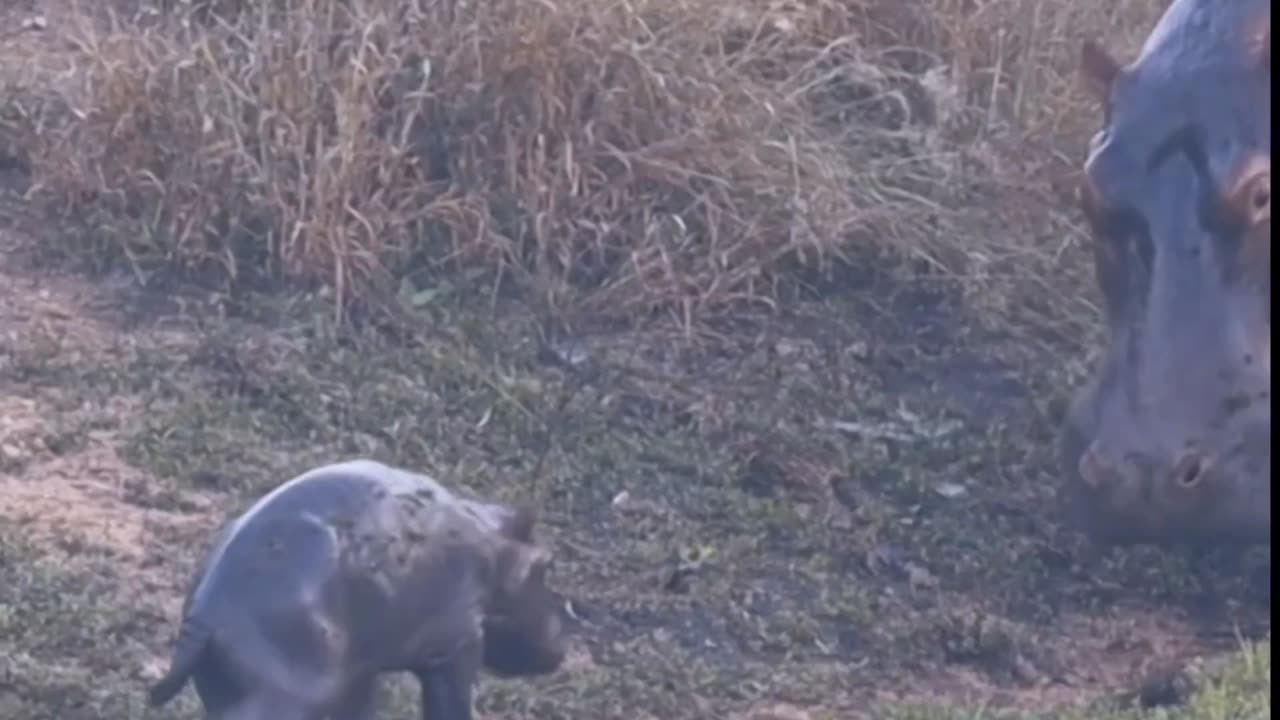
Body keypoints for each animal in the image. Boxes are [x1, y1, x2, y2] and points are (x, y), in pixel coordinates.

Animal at [145, 456, 570, 712]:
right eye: (546, 564)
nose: (565, 630)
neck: (490, 544)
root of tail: (204, 617)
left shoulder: (362, 675)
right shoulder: (457, 641)